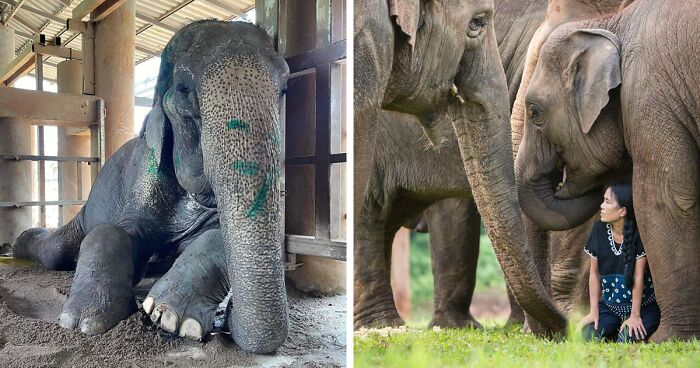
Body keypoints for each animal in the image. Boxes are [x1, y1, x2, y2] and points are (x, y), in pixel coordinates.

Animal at [10, 20, 290, 354]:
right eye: (183, 89)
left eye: (284, 88)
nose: (228, 322)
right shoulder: (147, 170)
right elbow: (114, 230)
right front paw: (84, 322)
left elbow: (218, 234)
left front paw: (171, 317)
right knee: (56, 251)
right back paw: (17, 245)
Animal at [516, 0, 700, 340]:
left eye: (535, 112)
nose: (559, 331)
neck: (613, 23)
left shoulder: (649, 98)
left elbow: (665, 199)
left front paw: (665, 339)